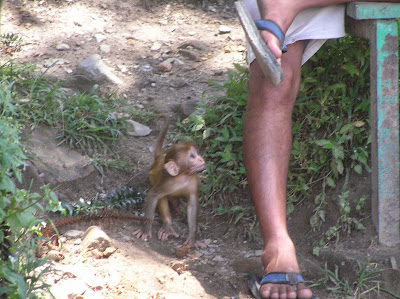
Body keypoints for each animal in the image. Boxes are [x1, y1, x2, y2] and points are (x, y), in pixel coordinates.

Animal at [135, 113, 206, 247]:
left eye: (197, 154)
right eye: (192, 156)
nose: (201, 159)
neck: (183, 176)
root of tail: (159, 159)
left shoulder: (194, 181)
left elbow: (192, 204)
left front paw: (192, 237)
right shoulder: (167, 182)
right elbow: (153, 195)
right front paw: (145, 229)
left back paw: (177, 204)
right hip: (152, 178)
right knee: (161, 196)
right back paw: (167, 226)